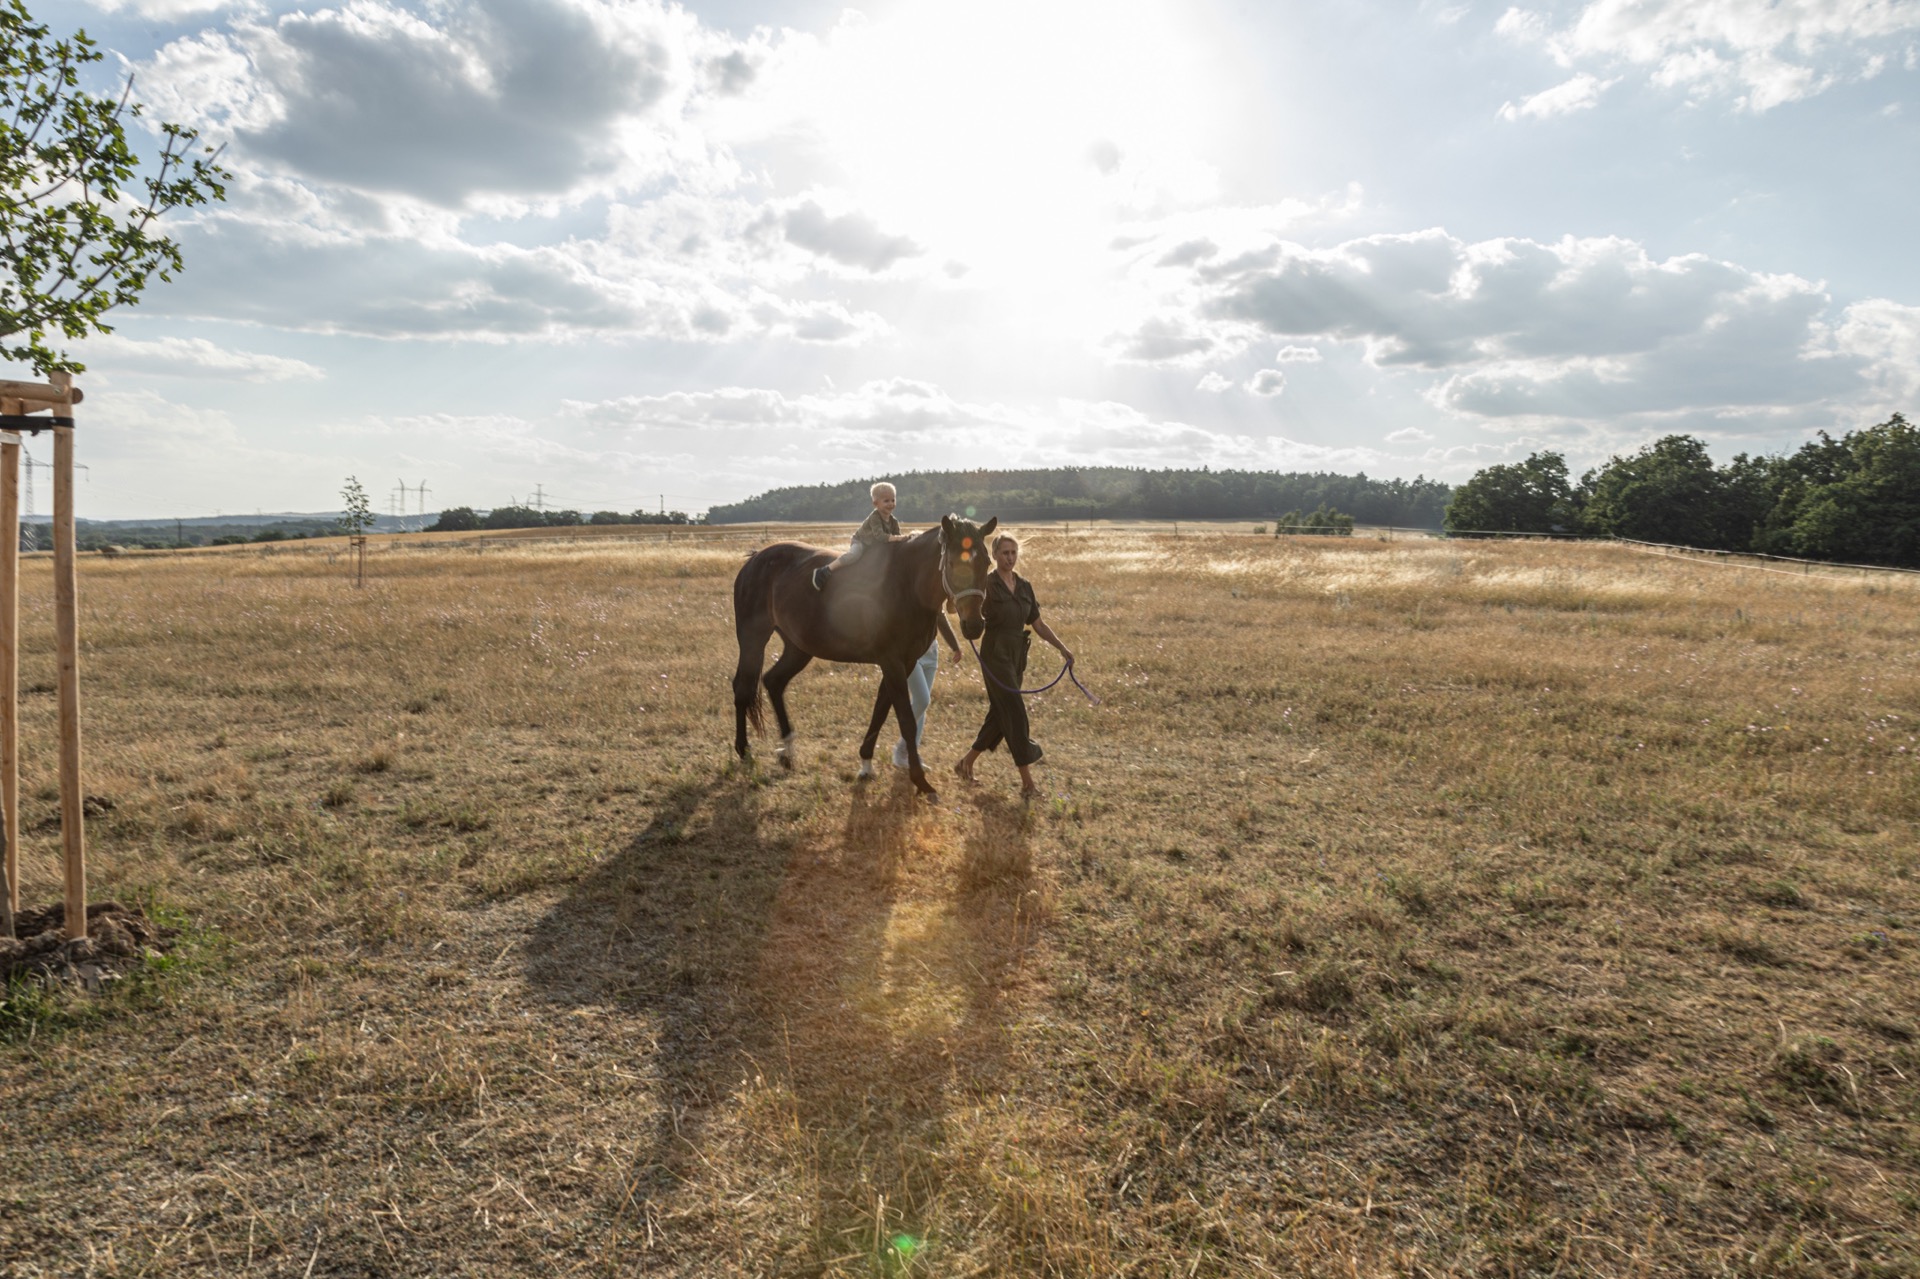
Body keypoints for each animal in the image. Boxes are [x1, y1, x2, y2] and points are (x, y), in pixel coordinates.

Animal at [731, 514, 999, 800]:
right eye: (951, 563)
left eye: (986, 562)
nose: (974, 625)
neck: (906, 583)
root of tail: (755, 559)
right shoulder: (892, 662)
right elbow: (905, 720)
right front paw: (921, 781)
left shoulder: (903, 663)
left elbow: (880, 711)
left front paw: (866, 763)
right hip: (753, 639)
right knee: (742, 687)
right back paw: (744, 751)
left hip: (798, 648)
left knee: (774, 681)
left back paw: (787, 750)